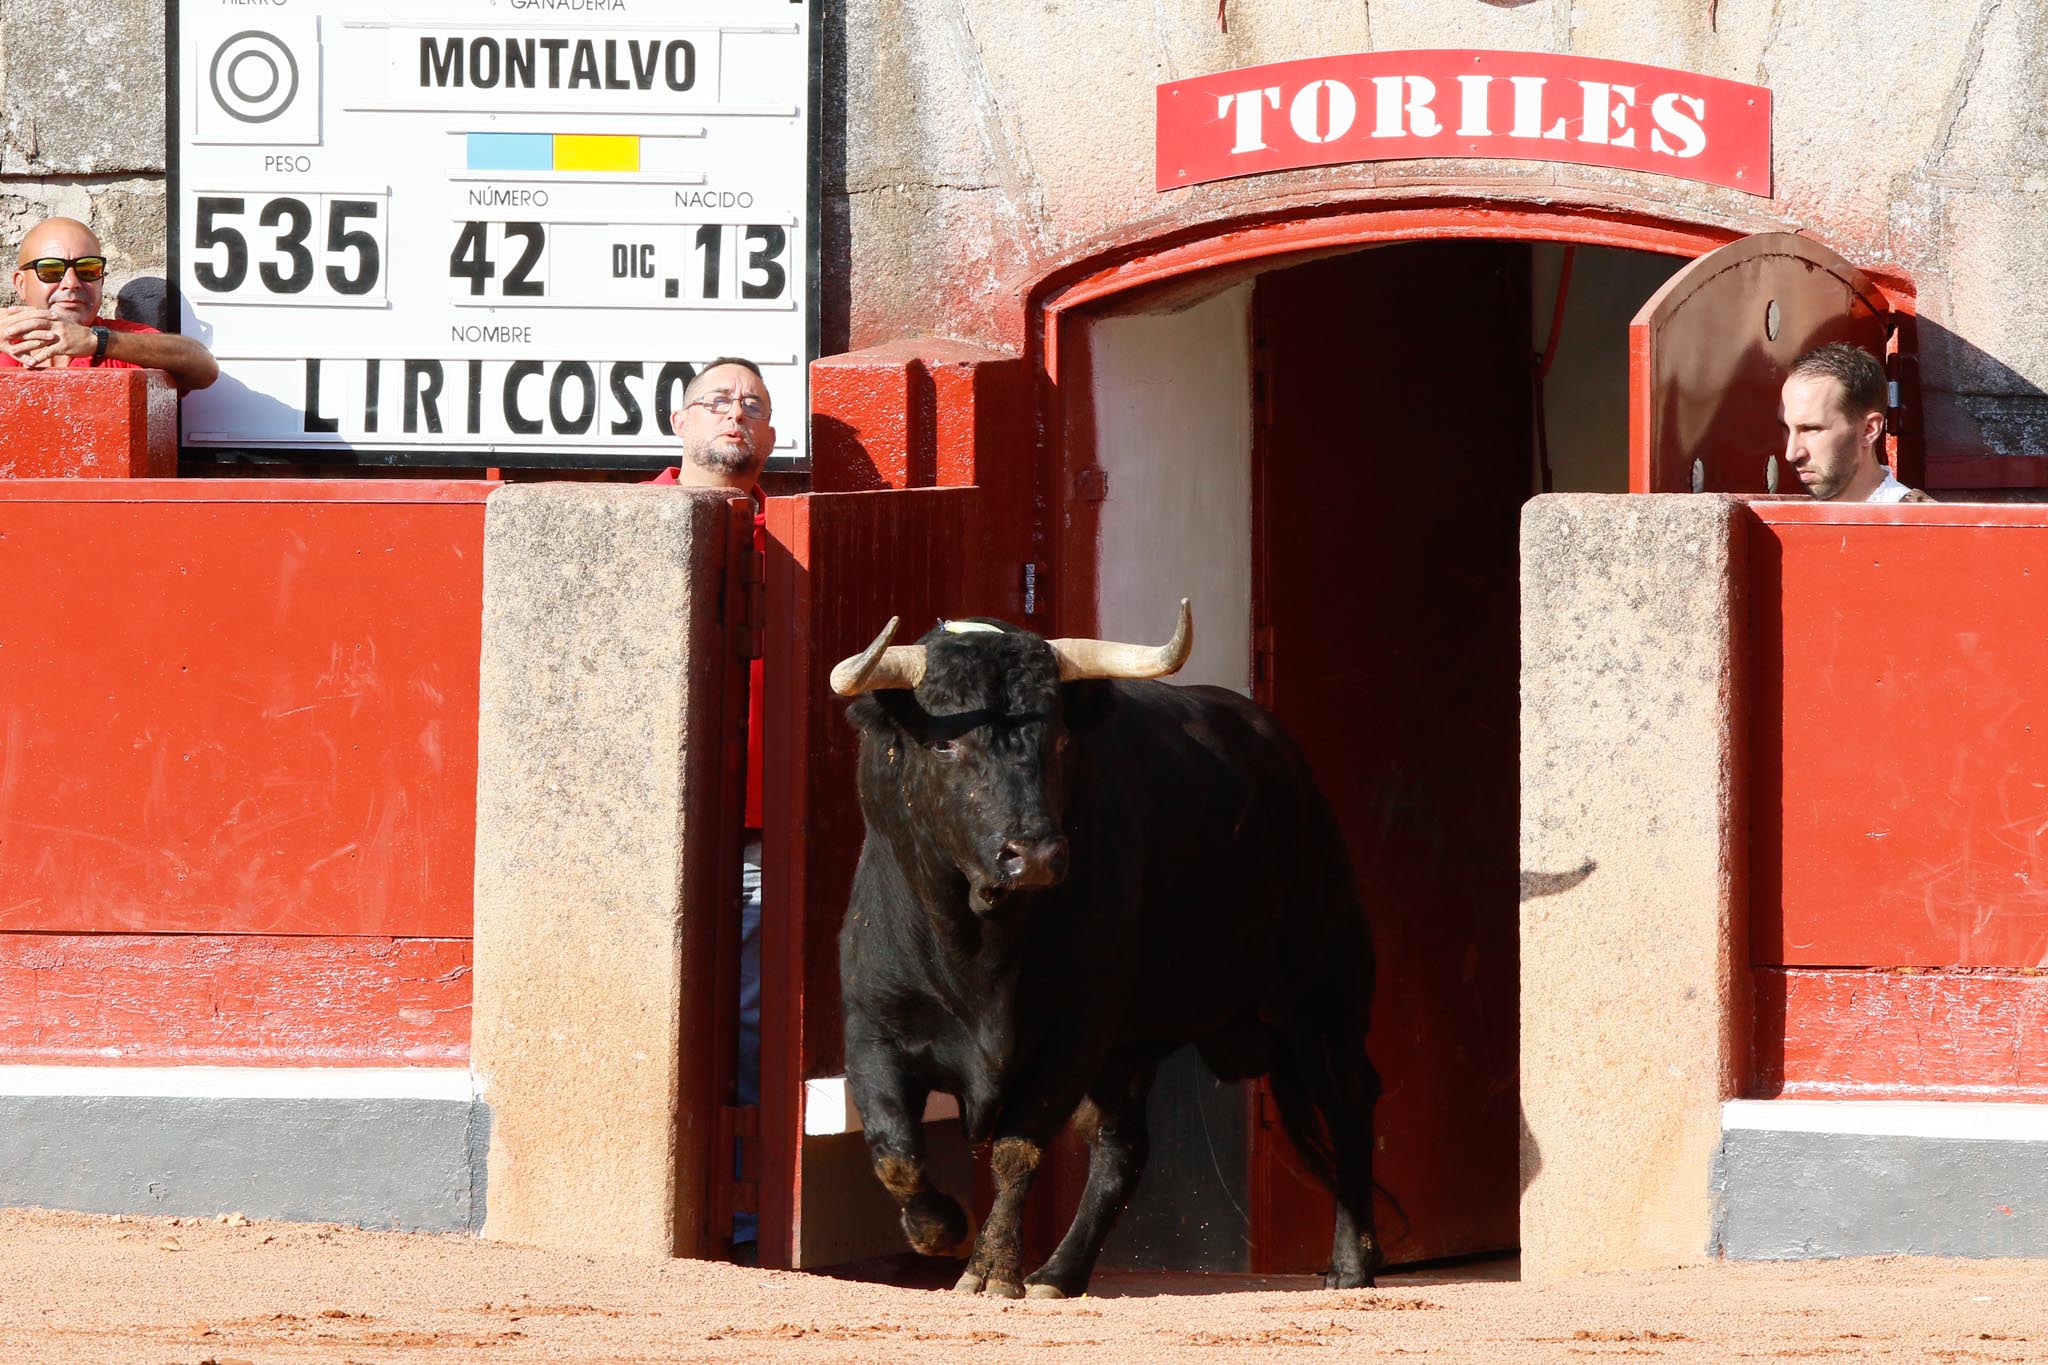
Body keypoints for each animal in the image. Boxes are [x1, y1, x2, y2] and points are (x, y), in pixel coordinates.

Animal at [839, 609, 1384, 1301]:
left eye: (1059, 741)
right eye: (943, 744)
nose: (1035, 855)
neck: (980, 945)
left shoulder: (1073, 1035)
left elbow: (1016, 1149)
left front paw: (990, 1271)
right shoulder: (873, 1028)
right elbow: (896, 1151)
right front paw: (940, 1228)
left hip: (1320, 995)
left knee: (1348, 1101)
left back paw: (1351, 1265)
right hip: (1140, 1047)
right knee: (1124, 1149)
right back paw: (1059, 1273)